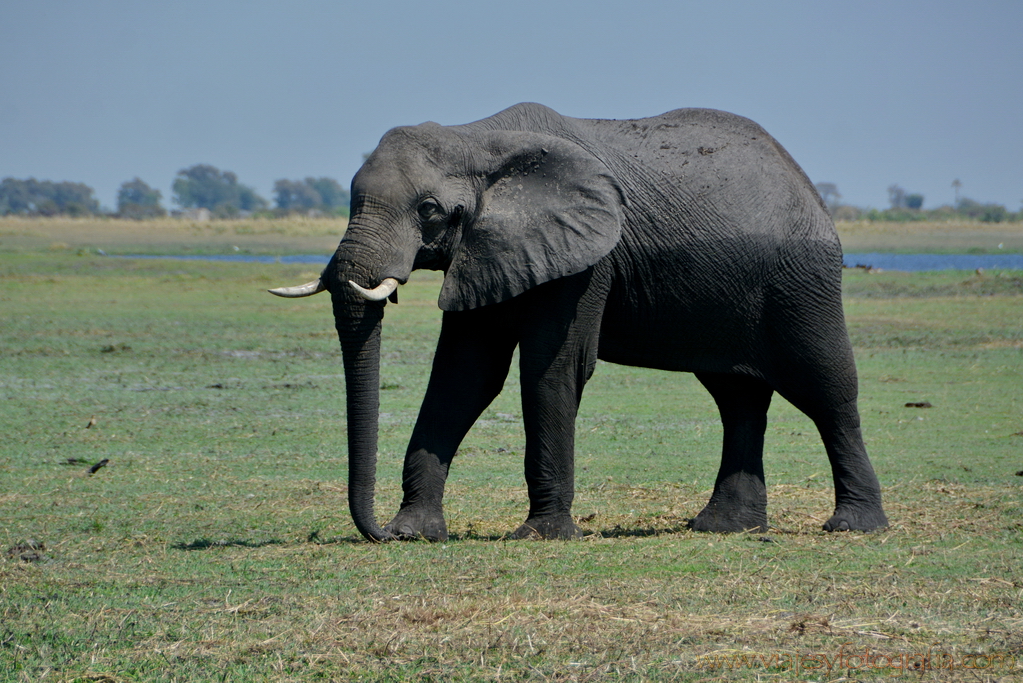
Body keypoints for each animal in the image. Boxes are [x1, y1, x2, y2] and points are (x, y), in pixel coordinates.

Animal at [270, 101, 887, 539]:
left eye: (428, 210)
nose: (377, 533)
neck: (477, 137)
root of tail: (802, 179)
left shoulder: (588, 260)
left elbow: (553, 368)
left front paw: (540, 535)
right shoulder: (489, 250)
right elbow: (464, 377)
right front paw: (415, 532)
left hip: (801, 281)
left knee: (825, 387)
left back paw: (853, 526)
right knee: (737, 397)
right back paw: (723, 528)